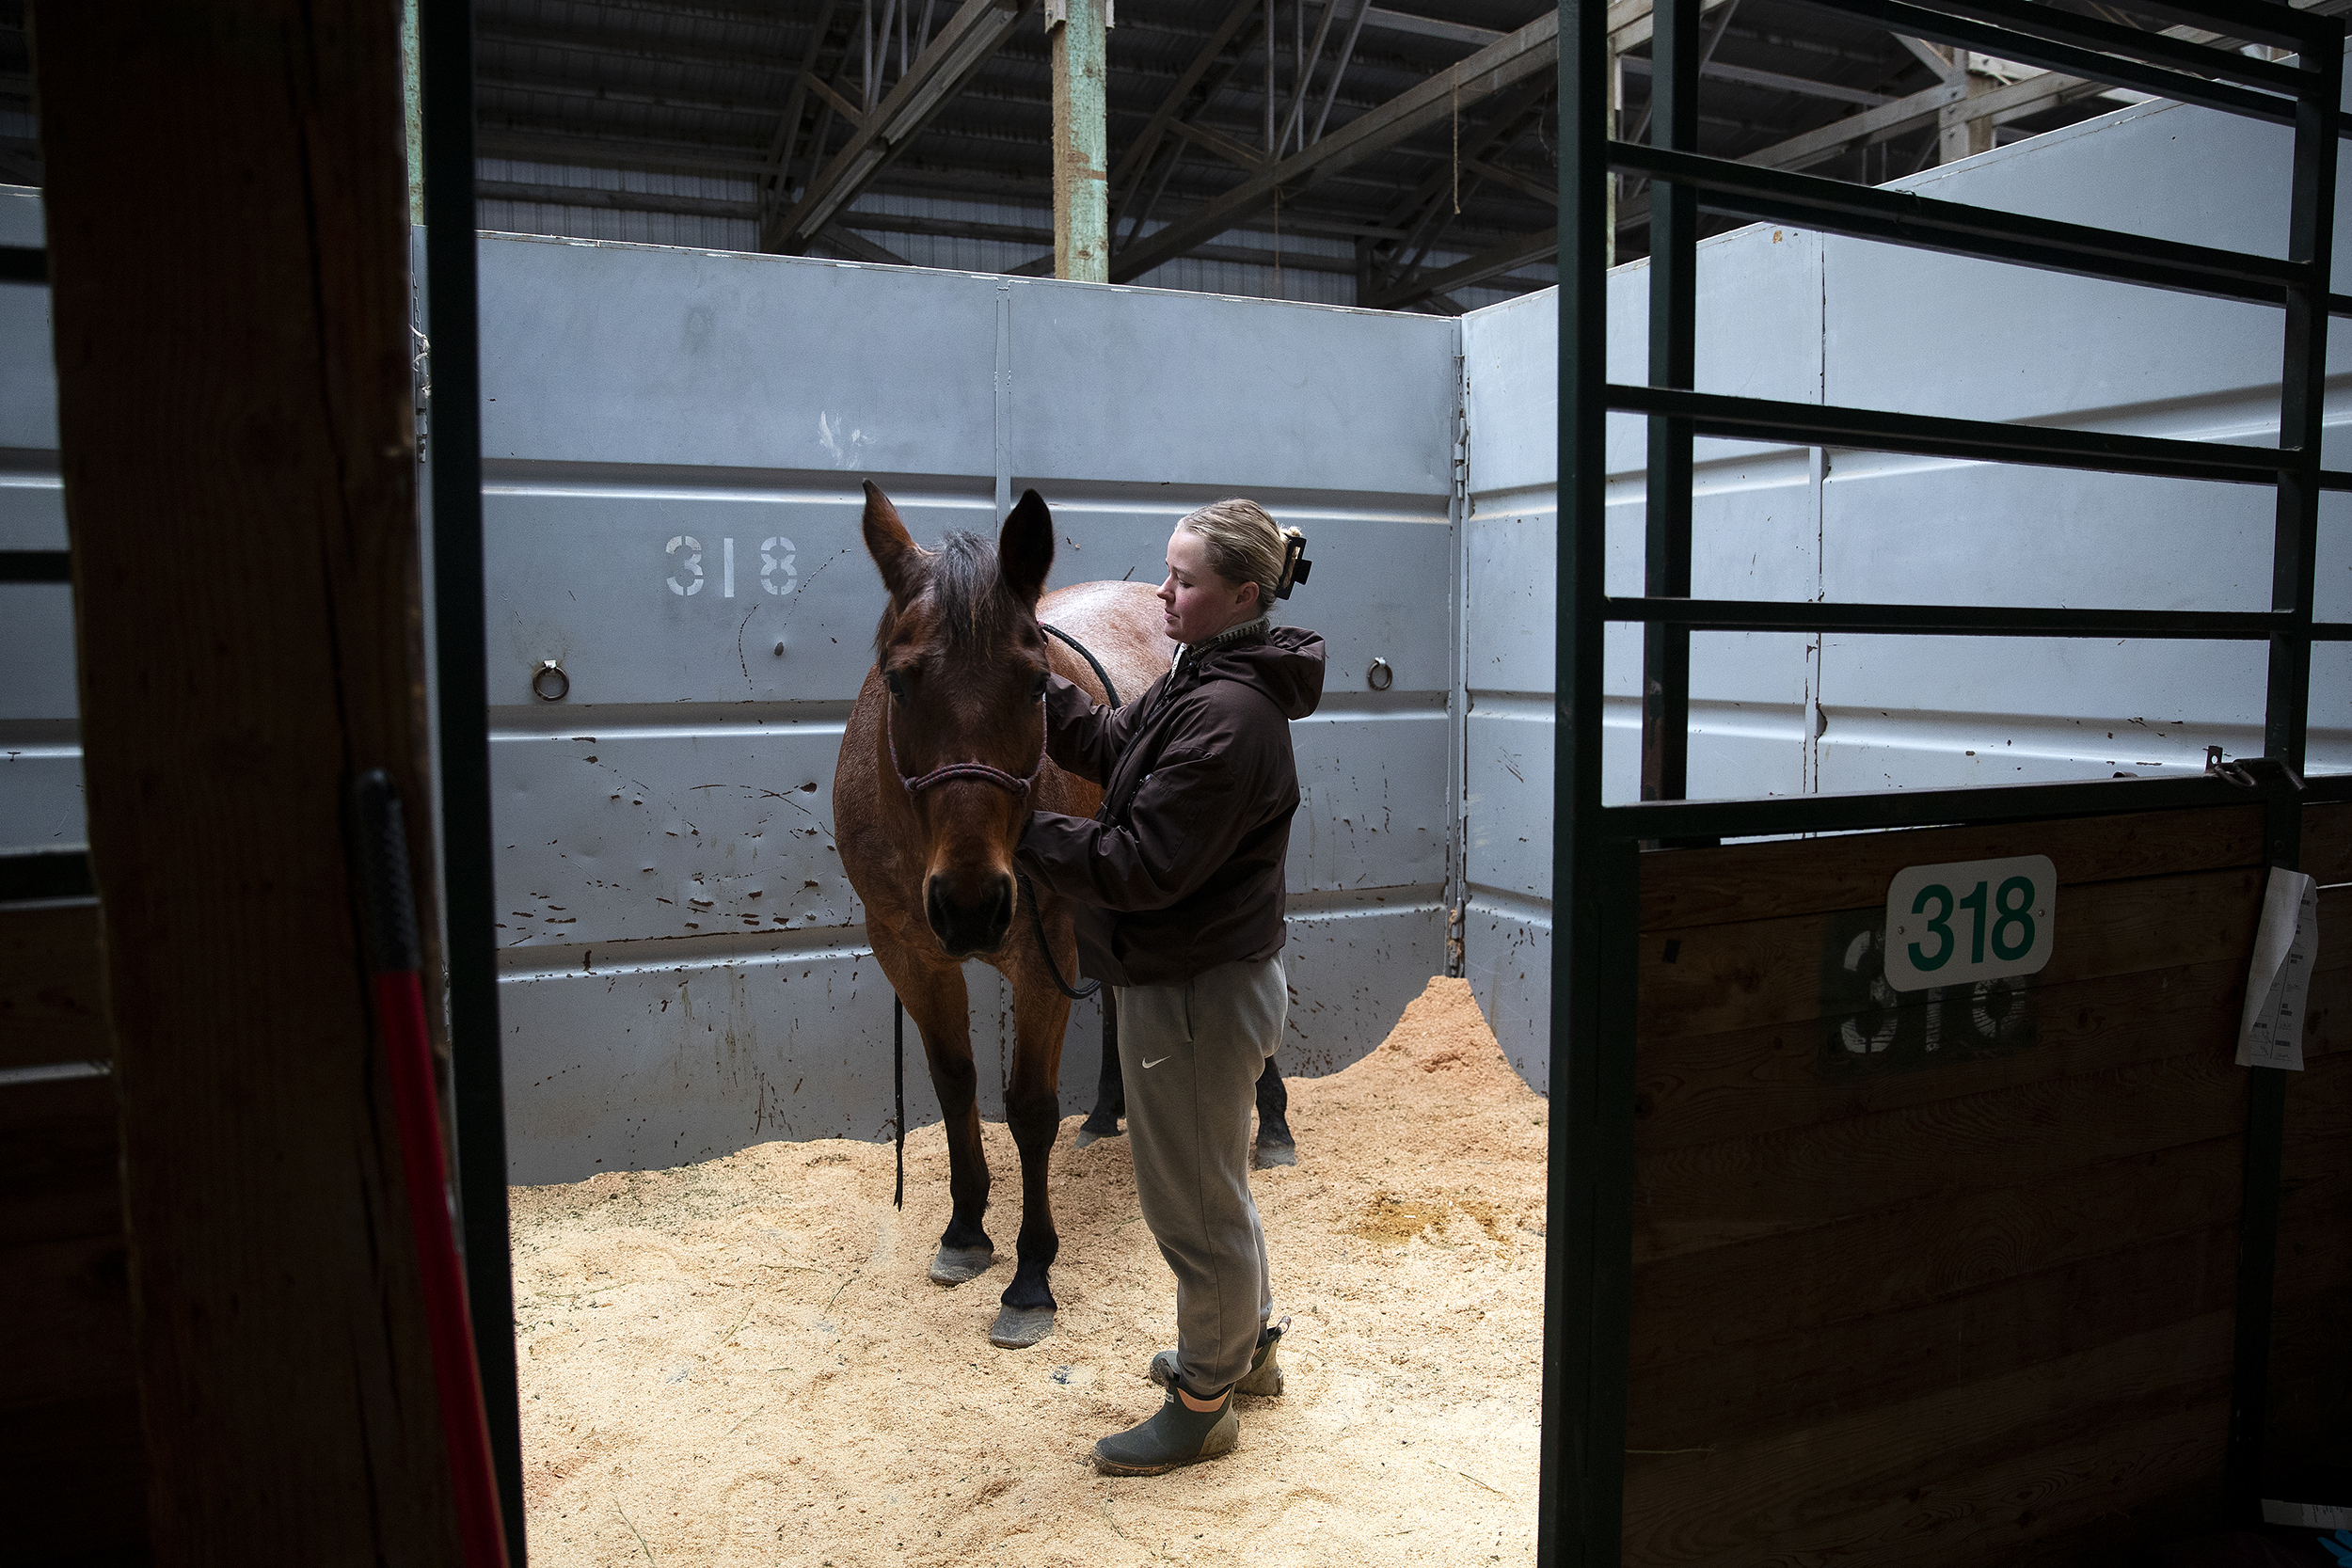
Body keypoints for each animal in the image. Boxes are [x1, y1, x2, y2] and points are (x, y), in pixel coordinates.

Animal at [833, 480, 1169, 1349]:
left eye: (1034, 685)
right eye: (899, 681)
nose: (971, 903)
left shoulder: (1043, 956)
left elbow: (1029, 1109)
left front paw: (1030, 1277)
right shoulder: (910, 952)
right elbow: (956, 1083)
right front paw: (964, 1231)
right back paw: (1108, 1114)